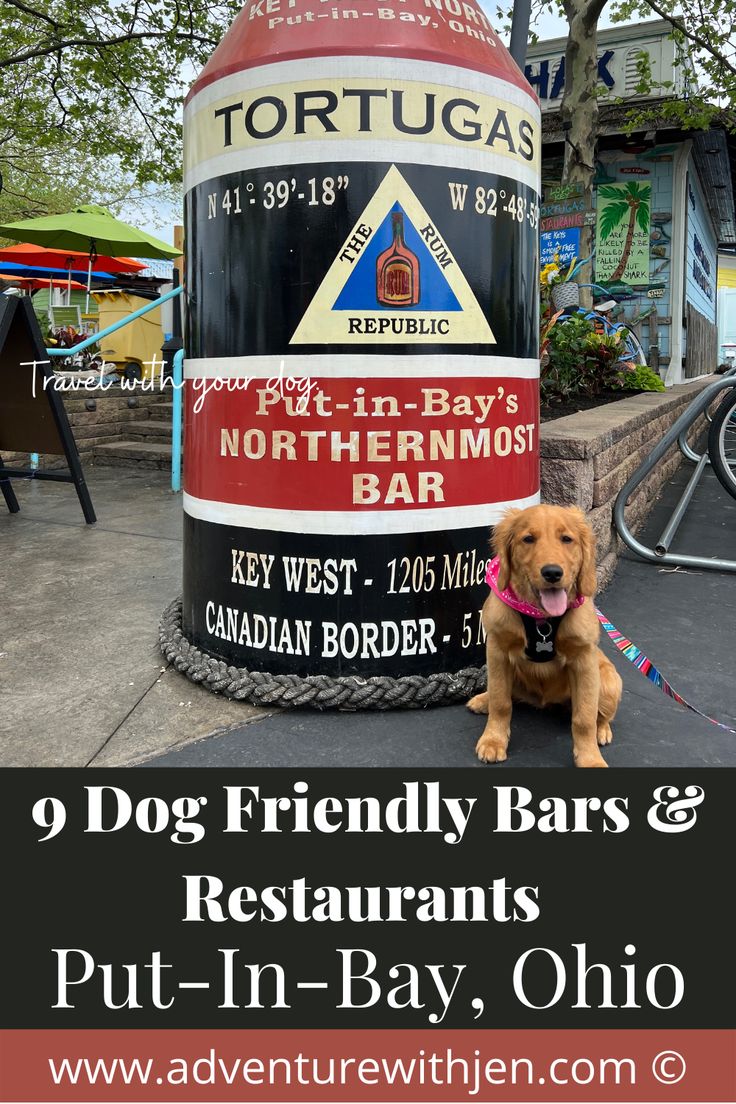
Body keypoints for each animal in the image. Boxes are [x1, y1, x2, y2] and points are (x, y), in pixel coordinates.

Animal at [470, 503, 617, 768]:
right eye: (528, 539)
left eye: (567, 539)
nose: (552, 573)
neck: (541, 617)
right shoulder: (497, 649)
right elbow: (501, 701)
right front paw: (494, 740)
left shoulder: (584, 660)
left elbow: (584, 717)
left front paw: (590, 759)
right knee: (506, 694)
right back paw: (483, 700)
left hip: (610, 681)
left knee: (600, 715)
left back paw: (602, 731)